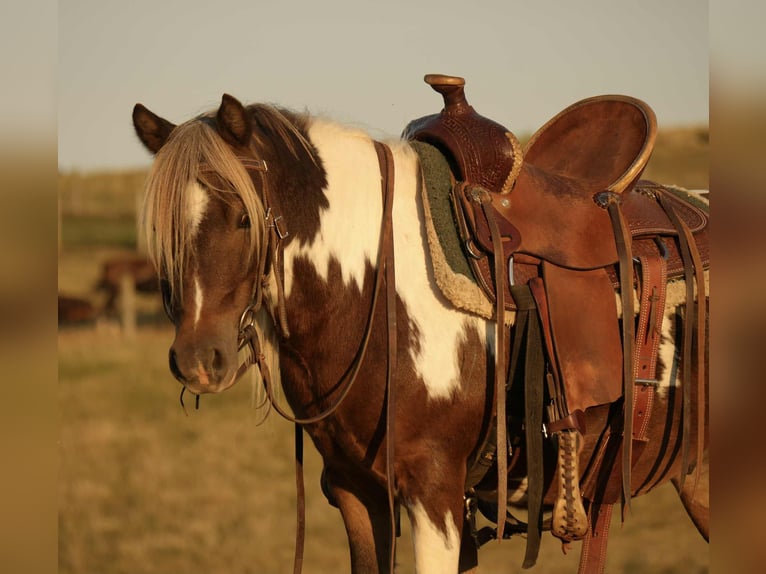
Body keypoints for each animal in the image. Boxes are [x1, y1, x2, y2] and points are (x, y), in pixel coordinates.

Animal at [132, 88, 709, 573]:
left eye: (243, 218)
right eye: (161, 228)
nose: (198, 360)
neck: (375, 286)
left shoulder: (435, 494)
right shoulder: (355, 490)